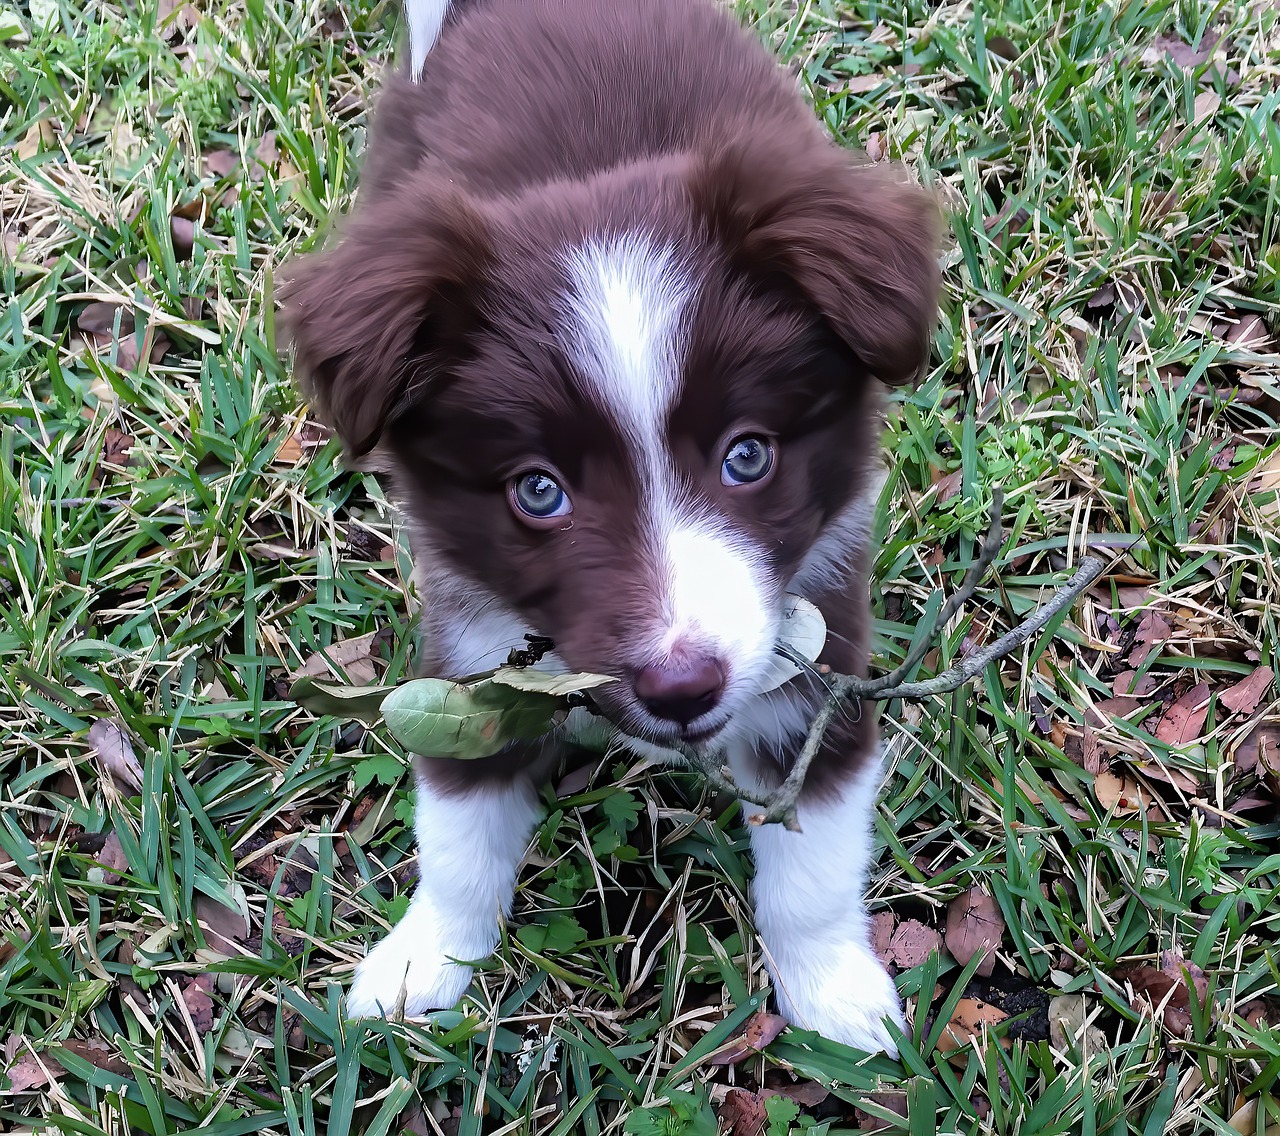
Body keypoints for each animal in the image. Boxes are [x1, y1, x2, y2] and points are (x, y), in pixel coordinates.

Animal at [282, 0, 942, 1054]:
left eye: (747, 456)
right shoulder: (475, 649)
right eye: (538, 491)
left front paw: (833, 995)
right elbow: (459, 825)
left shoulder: (815, 649)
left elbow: (815, 852)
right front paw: (425, 960)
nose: (682, 687)